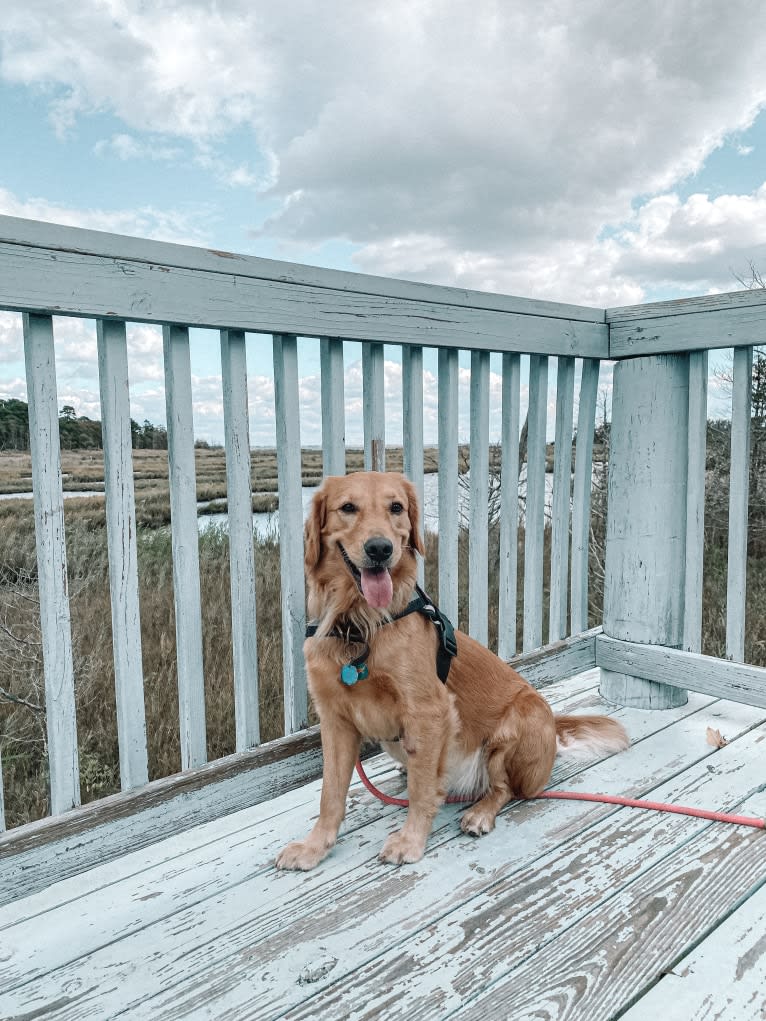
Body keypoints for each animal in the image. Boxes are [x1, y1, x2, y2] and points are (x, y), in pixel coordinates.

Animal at [275, 469, 629, 869]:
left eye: (395, 507)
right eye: (348, 507)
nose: (381, 549)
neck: (359, 625)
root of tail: (553, 726)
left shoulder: (429, 710)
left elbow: (422, 789)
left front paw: (410, 839)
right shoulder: (335, 721)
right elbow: (330, 795)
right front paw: (315, 846)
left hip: (518, 725)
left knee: (505, 789)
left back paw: (480, 813)